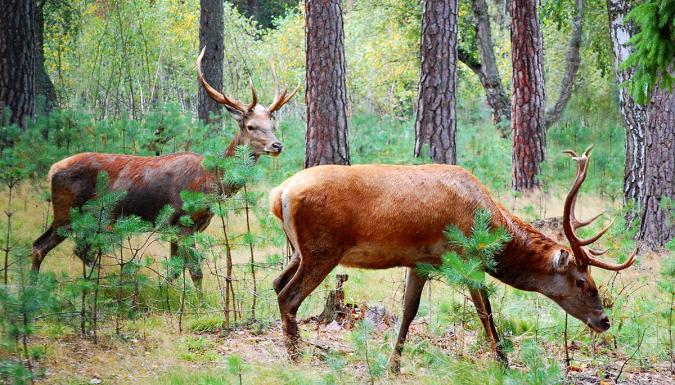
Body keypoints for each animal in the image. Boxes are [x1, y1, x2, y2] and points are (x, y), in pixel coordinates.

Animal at [29, 46, 298, 288]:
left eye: (272, 125)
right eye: (251, 126)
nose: (277, 145)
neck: (210, 181)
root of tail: (52, 169)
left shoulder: (186, 227)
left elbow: (178, 270)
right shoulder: (181, 222)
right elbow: (193, 271)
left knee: (65, 247)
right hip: (67, 210)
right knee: (47, 246)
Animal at [270, 146, 632, 368]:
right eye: (582, 282)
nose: (604, 321)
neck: (488, 219)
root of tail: (279, 194)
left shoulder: (420, 261)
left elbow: (409, 311)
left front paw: (393, 365)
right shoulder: (467, 257)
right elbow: (485, 310)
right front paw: (503, 361)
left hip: (299, 250)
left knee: (276, 283)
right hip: (322, 250)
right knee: (289, 296)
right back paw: (296, 358)